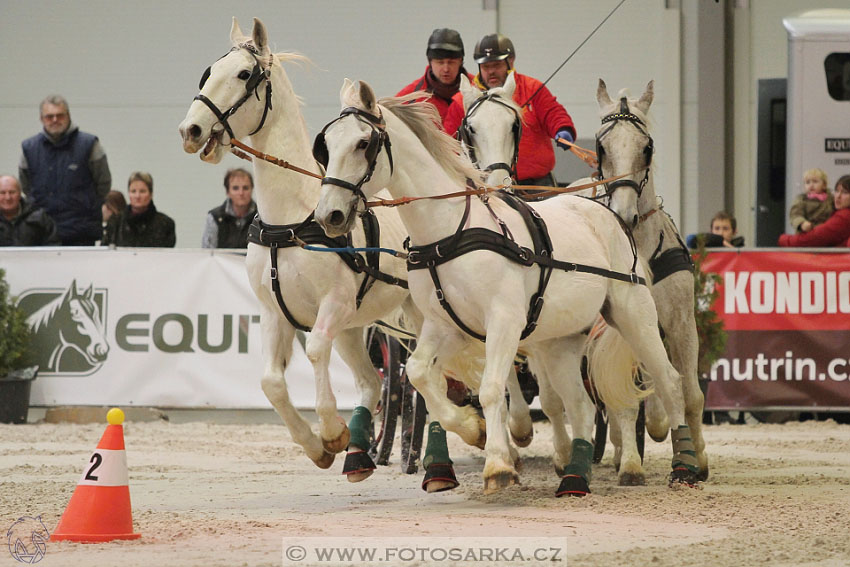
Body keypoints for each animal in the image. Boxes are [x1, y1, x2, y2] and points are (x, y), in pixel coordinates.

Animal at [312, 80, 696, 496]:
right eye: (326, 143)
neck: (451, 231)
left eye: (364, 143)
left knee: (671, 382)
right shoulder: (443, 325)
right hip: (560, 340)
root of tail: (609, 212)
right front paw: (471, 429)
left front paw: (497, 464)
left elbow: (492, 389)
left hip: (634, 316)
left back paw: (685, 466)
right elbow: (419, 373)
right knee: (580, 404)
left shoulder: (504, 322)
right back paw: (575, 476)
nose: (329, 215)